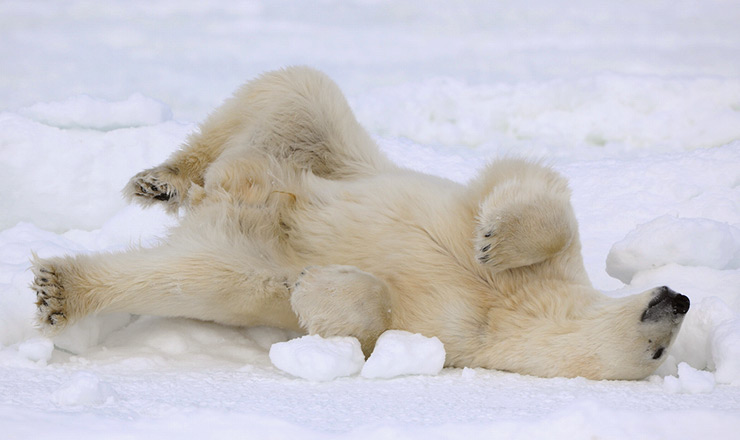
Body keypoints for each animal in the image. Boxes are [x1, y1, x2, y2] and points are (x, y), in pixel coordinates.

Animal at [28, 67, 688, 380]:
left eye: (661, 353)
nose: (679, 298)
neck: (514, 311)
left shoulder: (456, 337)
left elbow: (370, 327)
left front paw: (315, 286)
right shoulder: (546, 267)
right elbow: (532, 184)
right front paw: (492, 242)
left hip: (234, 251)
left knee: (189, 275)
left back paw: (61, 289)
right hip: (328, 155)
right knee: (294, 94)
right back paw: (163, 179)